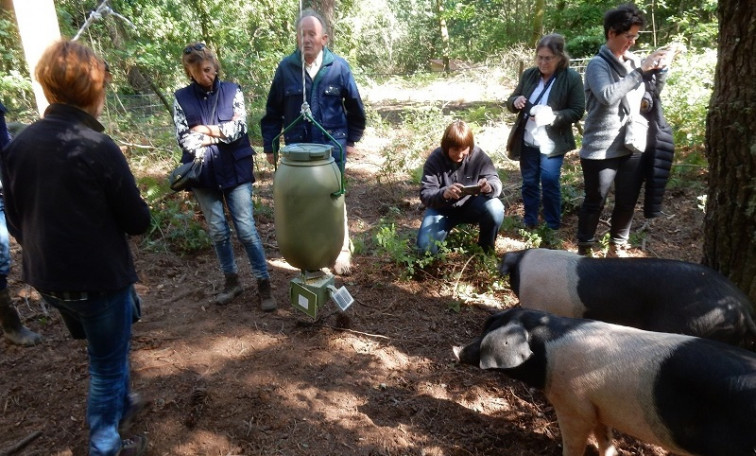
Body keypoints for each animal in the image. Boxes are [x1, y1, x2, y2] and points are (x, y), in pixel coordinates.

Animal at [454, 306, 756, 456]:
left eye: (489, 334)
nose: (457, 350)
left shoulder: (573, 404)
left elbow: (575, 441)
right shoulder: (597, 406)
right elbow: (605, 437)